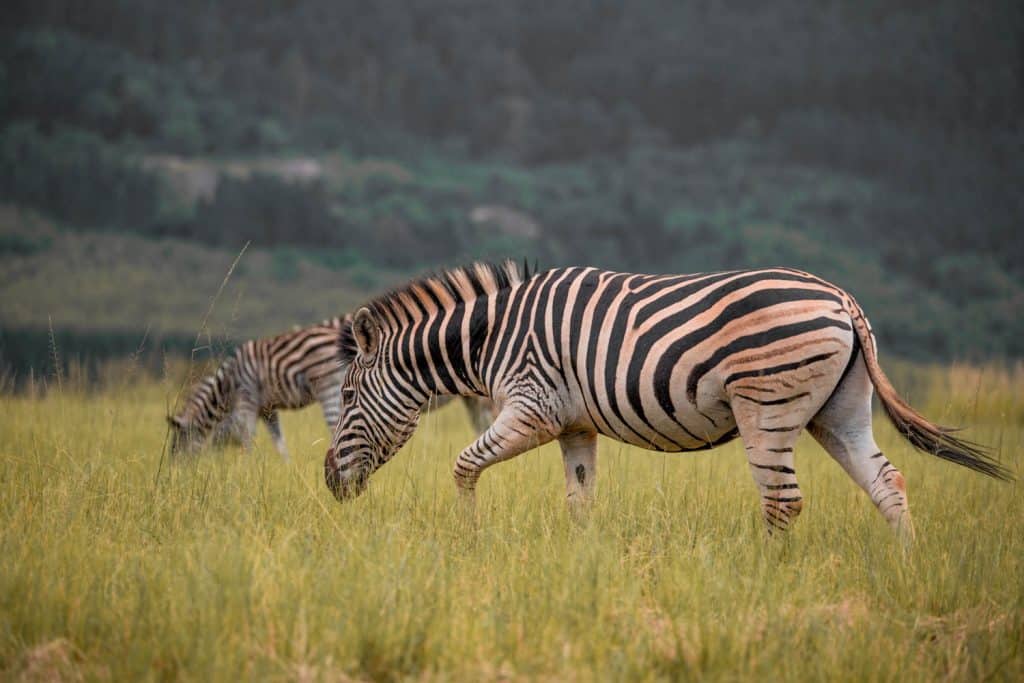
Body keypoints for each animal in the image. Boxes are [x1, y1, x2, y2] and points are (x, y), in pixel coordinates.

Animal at [168, 317, 495, 459]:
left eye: (176, 445)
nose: (175, 472)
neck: (227, 381)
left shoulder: (248, 396)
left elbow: (245, 433)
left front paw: (248, 464)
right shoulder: (268, 408)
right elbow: (278, 441)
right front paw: (283, 466)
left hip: (326, 387)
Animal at [323, 261, 1011, 538]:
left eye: (350, 393)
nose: (329, 482)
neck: (492, 335)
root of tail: (843, 299)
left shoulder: (531, 410)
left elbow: (463, 466)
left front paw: (469, 536)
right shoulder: (574, 424)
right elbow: (579, 498)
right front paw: (581, 563)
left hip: (766, 407)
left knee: (782, 501)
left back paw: (762, 579)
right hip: (837, 412)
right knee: (888, 482)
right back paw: (908, 567)